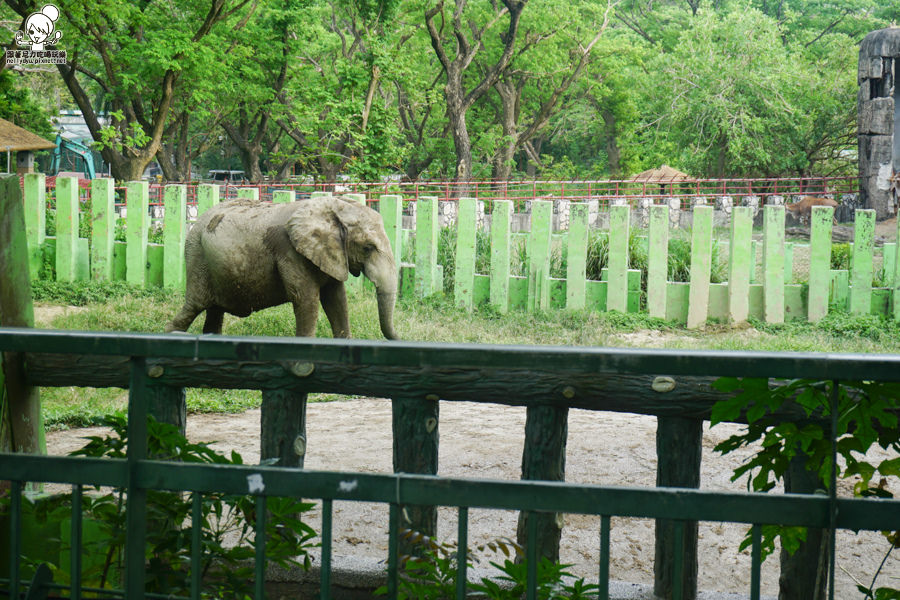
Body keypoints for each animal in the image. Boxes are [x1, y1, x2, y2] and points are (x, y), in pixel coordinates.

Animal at [165, 196, 398, 340]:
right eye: (368, 248)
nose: (400, 338)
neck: (332, 208)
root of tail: (198, 220)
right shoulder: (290, 252)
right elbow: (306, 299)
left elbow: (336, 299)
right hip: (197, 255)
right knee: (195, 305)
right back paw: (169, 333)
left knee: (213, 311)